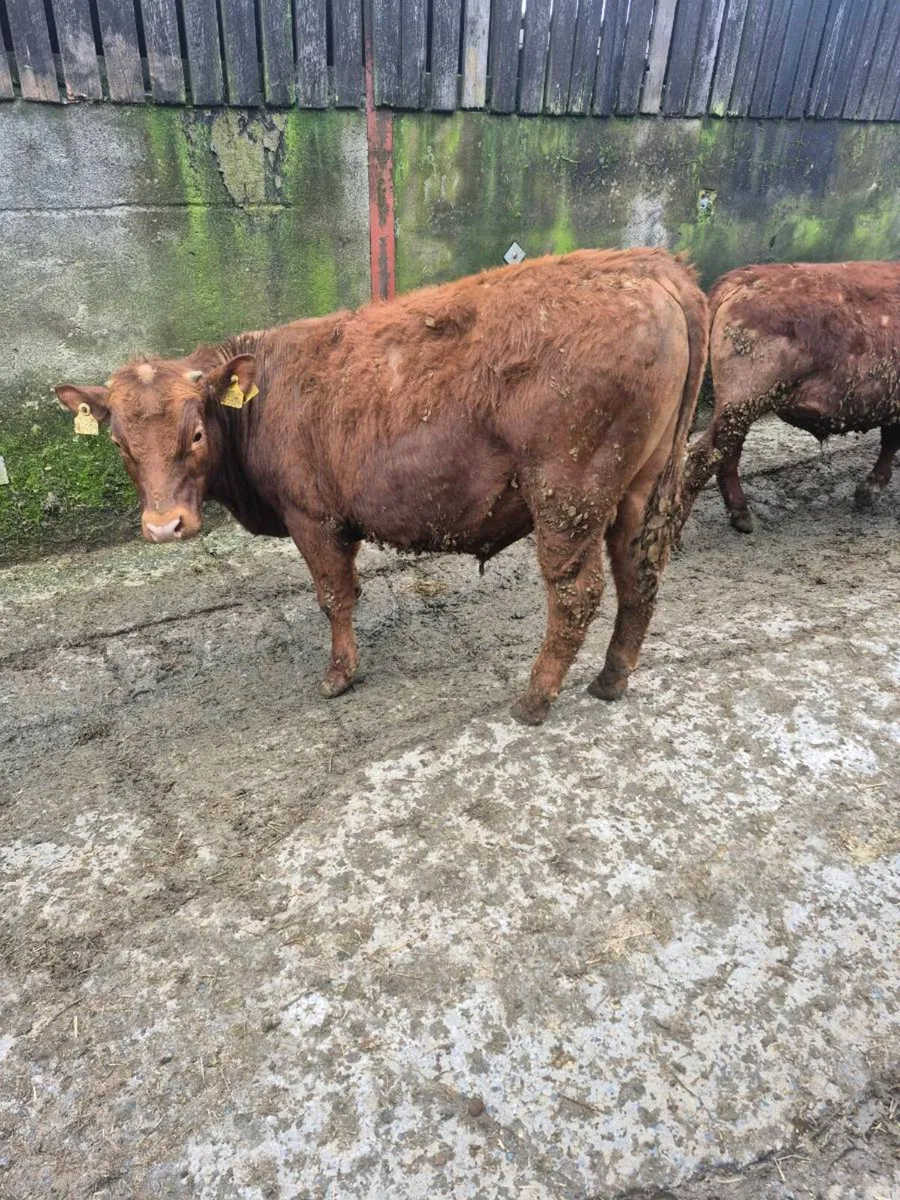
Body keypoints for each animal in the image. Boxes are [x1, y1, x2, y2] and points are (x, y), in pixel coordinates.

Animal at [56, 249, 707, 725]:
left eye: (194, 433)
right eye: (120, 443)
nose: (164, 526)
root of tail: (651, 266)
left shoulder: (311, 517)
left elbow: (333, 596)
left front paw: (339, 676)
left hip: (568, 495)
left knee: (577, 592)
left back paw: (533, 700)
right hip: (639, 488)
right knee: (639, 572)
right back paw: (610, 678)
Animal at [684, 261, 900, 533]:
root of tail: (743, 277)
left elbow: (890, 441)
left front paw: (868, 491)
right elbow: (891, 442)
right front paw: (870, 490)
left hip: (738, 409)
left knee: (727, 453)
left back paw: (741, 514)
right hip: (743, 401)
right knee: (703, 458)